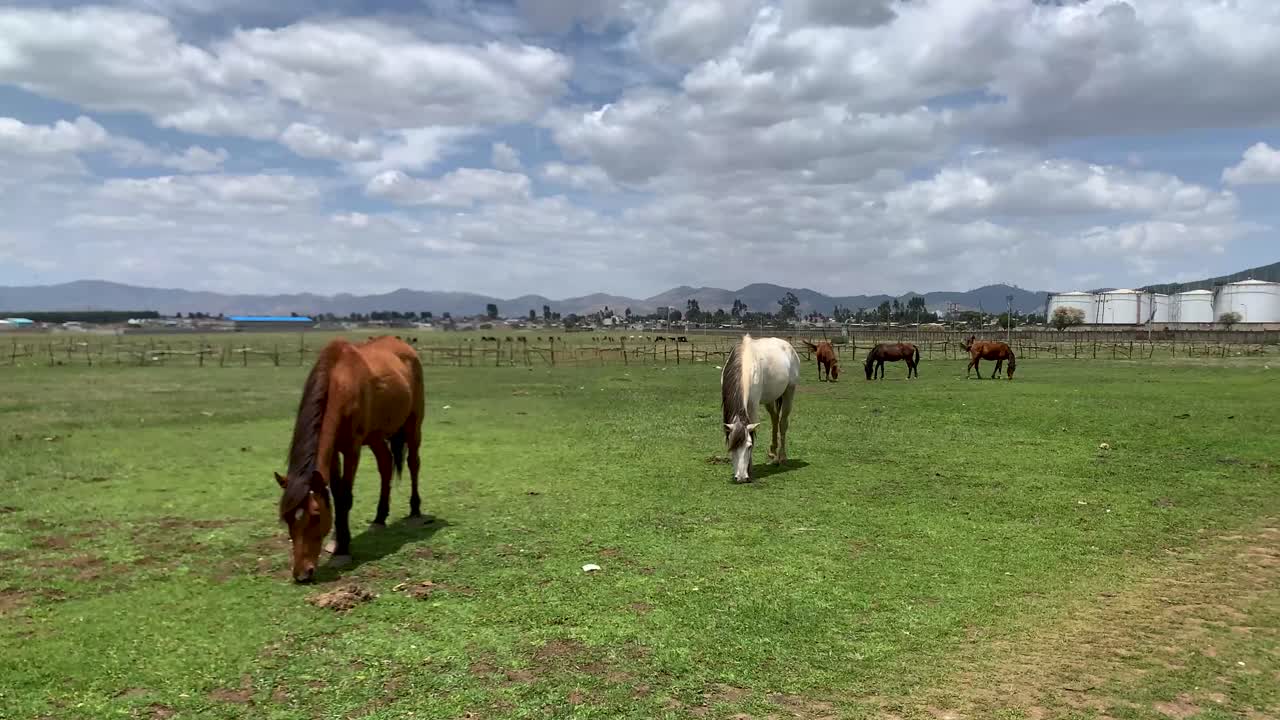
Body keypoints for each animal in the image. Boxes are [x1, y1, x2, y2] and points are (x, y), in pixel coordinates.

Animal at [274, 335, 426, 583]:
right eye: (287, 518)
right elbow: (335, 493)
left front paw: (342, 550)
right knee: (386, 465)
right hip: (376, 436)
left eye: (315, 516)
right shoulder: (334, 450)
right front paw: (336, 540)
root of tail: (404, 346)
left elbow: (345, 497)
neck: (339, 383)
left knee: (413, 463)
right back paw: (379, 518)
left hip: (413, 425)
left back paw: (415, 511)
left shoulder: (352, 449)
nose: (302, 574)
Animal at [720, 334, 801, 483]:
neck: (746, 365)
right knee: (774, 419)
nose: (741, 478)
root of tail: (788, 346)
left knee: (782, 423)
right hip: (770, 398)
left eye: (749, 446)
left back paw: (782, 457)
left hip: (789, 391)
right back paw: (773, 454)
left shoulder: (753, 404)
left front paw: (750, 470)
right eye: (732, 446)